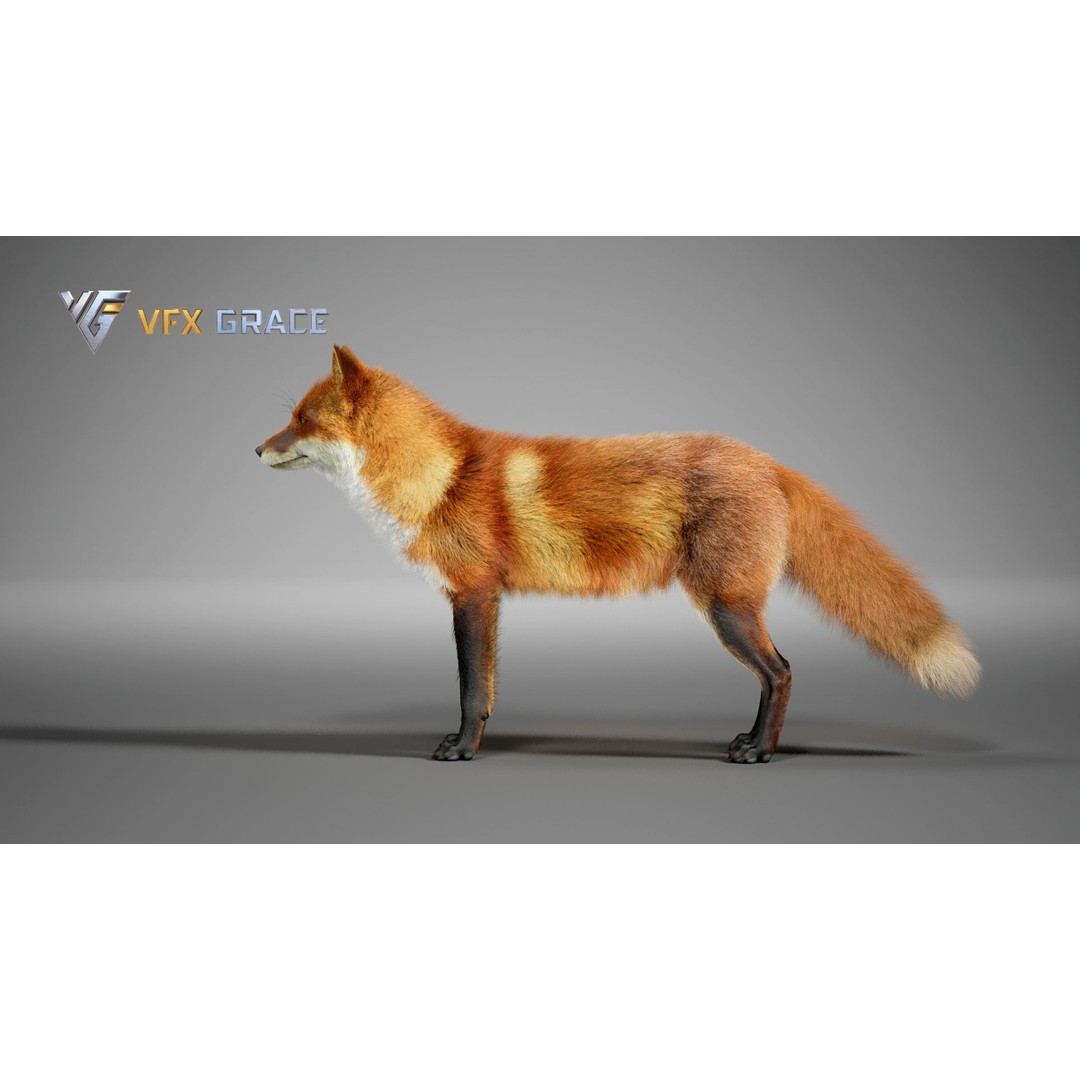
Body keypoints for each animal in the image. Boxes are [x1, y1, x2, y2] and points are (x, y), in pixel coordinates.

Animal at [256, 345, 981, 764]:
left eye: (302, 420)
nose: (255, 449)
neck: (439, 478)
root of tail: (765, 459)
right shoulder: (484, 598)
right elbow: (485, 687)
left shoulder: (474, 594)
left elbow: (470, 690)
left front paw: (462, 749)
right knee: (780, 673)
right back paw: (757, 743)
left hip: (726, 608)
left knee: (781, 672)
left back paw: (758, 752)